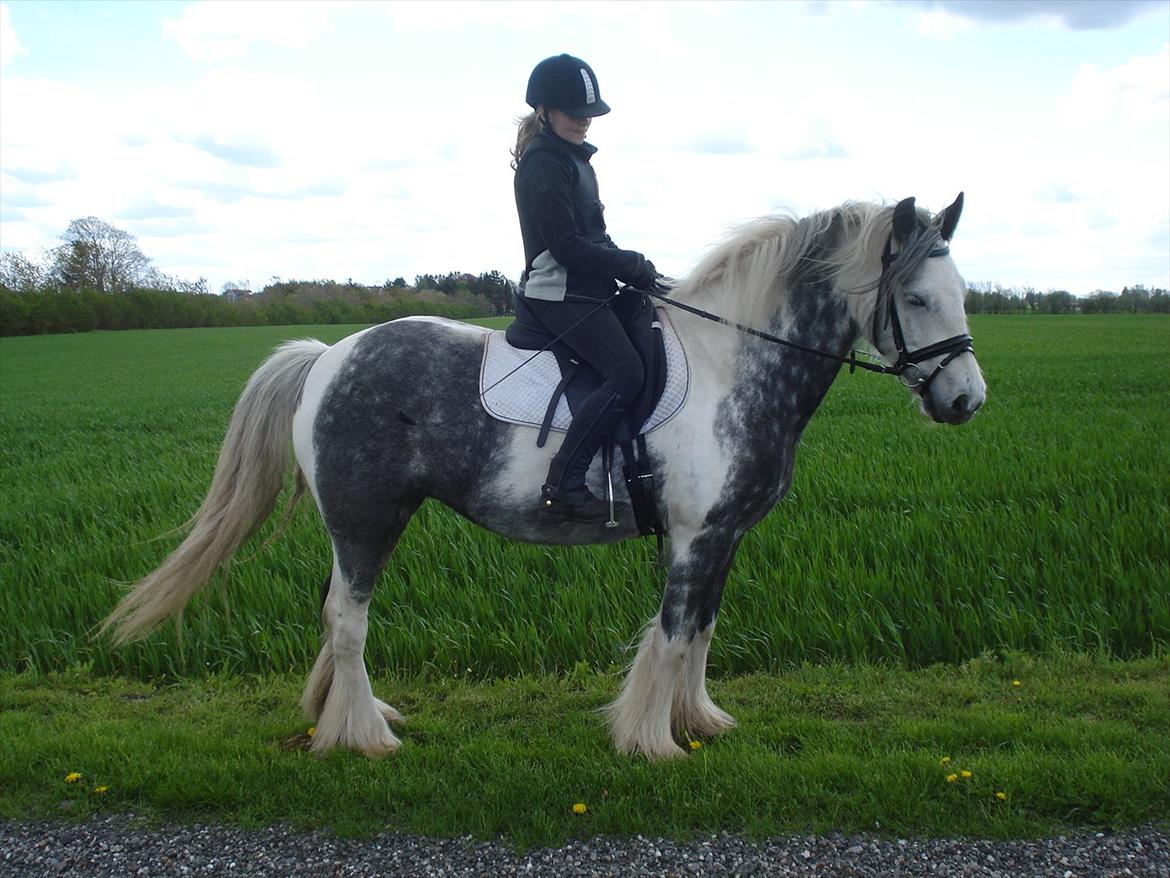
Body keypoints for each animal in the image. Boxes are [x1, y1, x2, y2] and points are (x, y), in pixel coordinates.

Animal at [100, 194, 982, 763]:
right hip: (366, 519)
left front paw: (702, 722)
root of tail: (327, 357)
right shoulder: (694, 535)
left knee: (331, 616)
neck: (735, 364)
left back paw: (347, 716)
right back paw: (367, 739)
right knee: (348, 621)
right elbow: (671, 634)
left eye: (961, 293)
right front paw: (652, 743)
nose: (966, 401)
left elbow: (701, 629)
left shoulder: (722, 536)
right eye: (914, 297)